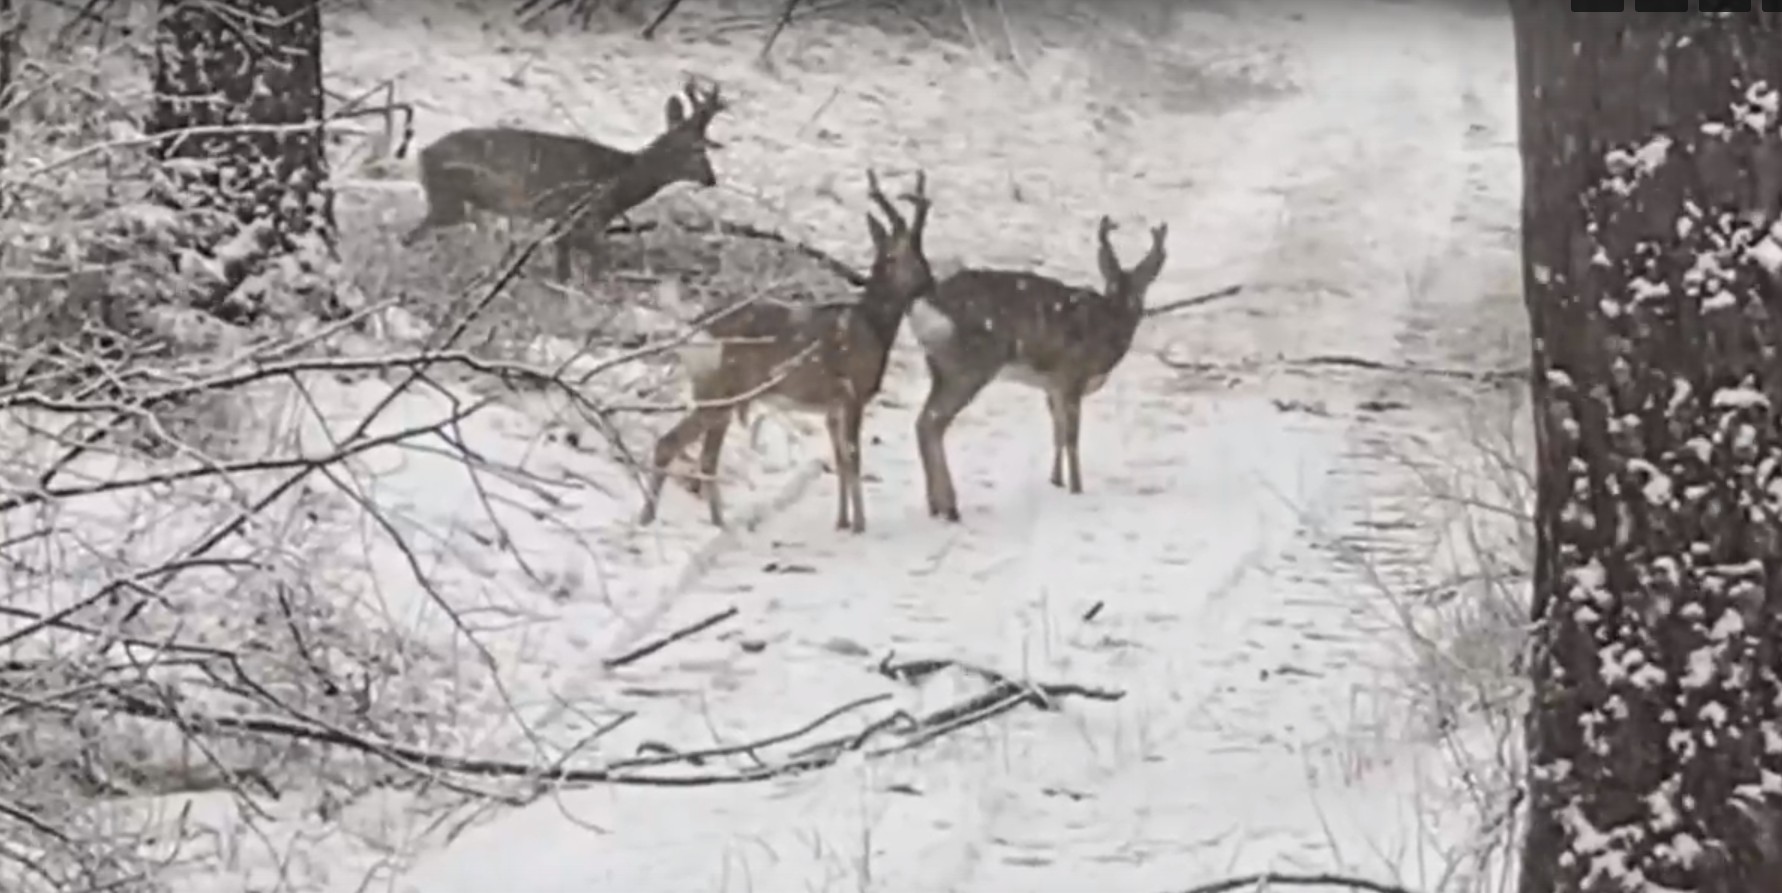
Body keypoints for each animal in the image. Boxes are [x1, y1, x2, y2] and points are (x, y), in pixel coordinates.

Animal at [406, 82, 730, 281]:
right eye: (698, 148)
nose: (711, 178)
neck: (618, 180)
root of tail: (423, 154)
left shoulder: (566, 222)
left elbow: (565, 267)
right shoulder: (582, 216)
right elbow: (592, 260)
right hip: (452, 198)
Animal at [645, 170, 948, 531]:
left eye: (921, 251)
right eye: (894, 256)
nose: (929, 284)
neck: (872, 327)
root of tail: (692, 333)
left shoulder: (831, 406)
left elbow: (840, 460)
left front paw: (842, 521)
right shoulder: (852, 392)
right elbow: (854, 457)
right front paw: (860, 524)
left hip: (722, 397)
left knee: (706, 457)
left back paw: (718, 522)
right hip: (717, 390)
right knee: (669, 443)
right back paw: (649, 520)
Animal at [905, 215, 1168, 520]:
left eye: (1140, 290)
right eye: (1113, 286)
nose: (1132, 311)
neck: (1108, 320)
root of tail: (924, 307)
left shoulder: (1052, 386)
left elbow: (1057, 432)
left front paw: (1056, 481)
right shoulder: (1071, 375)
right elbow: (1072, 437)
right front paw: (1077, 489)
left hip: (940, 366)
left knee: (924, 422)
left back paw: (936, 506)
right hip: (969, 365)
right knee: (931, 422)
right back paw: (949, 506)